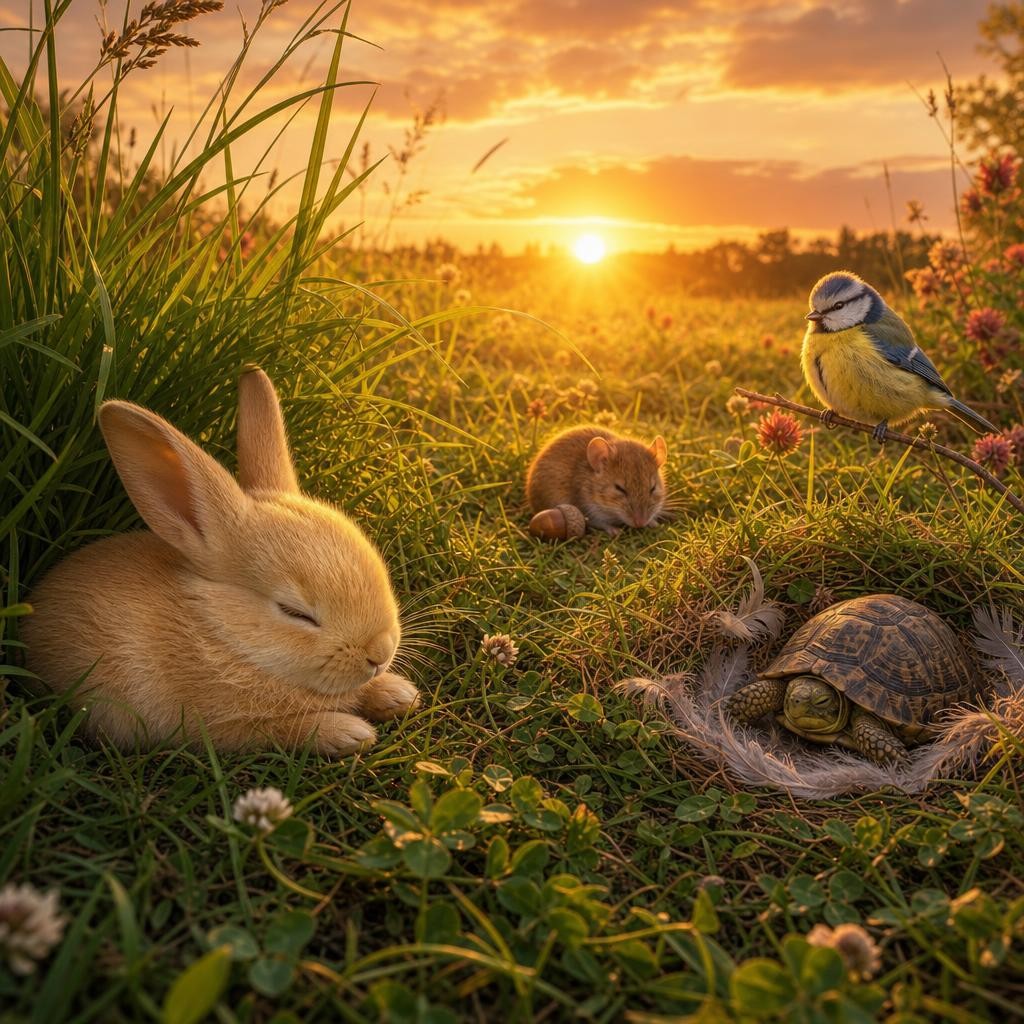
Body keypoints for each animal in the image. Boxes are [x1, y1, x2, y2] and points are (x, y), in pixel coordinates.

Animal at [23, 368, 419, 755]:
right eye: (295, 613)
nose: (380, 654)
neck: (223, 635)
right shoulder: (223, 728)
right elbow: (282, 730)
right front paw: (349, 733)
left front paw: (399, 694)